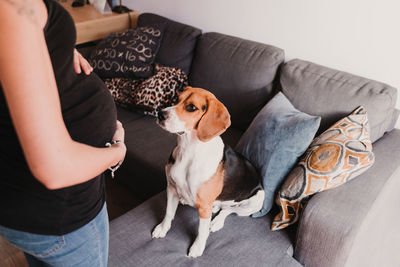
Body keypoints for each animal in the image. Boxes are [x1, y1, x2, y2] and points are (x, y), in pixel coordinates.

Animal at [152, 87, 264, 258]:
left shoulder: (204, 206)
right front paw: (162, 229)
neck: (188, 151)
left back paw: (217, 221)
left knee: (230, 210)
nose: (160, 114)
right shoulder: (171, 189)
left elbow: (202, 231)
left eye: (191, 107)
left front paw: (197, 248)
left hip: (257, 200)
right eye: (176, 99)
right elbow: (169, 213)